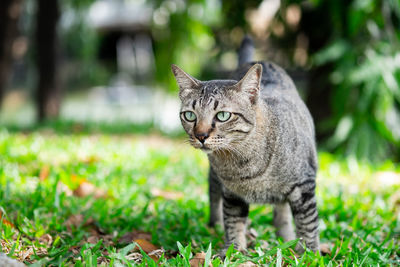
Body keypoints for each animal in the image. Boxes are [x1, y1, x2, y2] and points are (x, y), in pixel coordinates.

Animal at [170, 36, 320, 254]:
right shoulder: (232, 194)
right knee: (214, 198)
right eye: (190, 115)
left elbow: (307, 224)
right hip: (215, 179)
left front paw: (309, 253)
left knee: (282, 212)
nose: (201, 136)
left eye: (223, 115)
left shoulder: (304, 185)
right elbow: (234, 222)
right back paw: (216, 226)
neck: (242, 163)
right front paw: (234, 250)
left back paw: (286, 237)